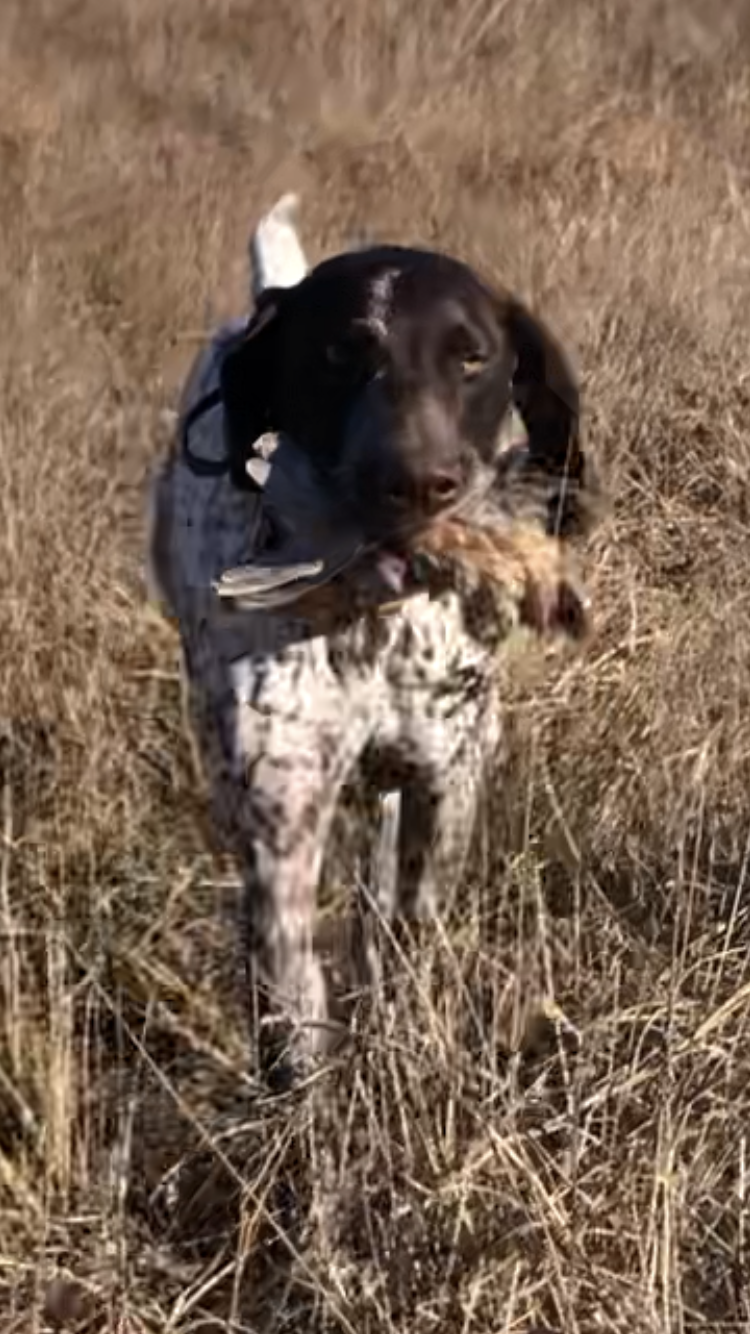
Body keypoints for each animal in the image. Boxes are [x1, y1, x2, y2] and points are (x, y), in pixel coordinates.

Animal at [147, 197, 600, 1093]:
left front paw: (404, 1048)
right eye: (335, 354)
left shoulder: (443, 789)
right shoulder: (280, 828)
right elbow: (294, 1009)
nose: (418, 483)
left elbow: (407, 936)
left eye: (471, 357)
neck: (374, 617)